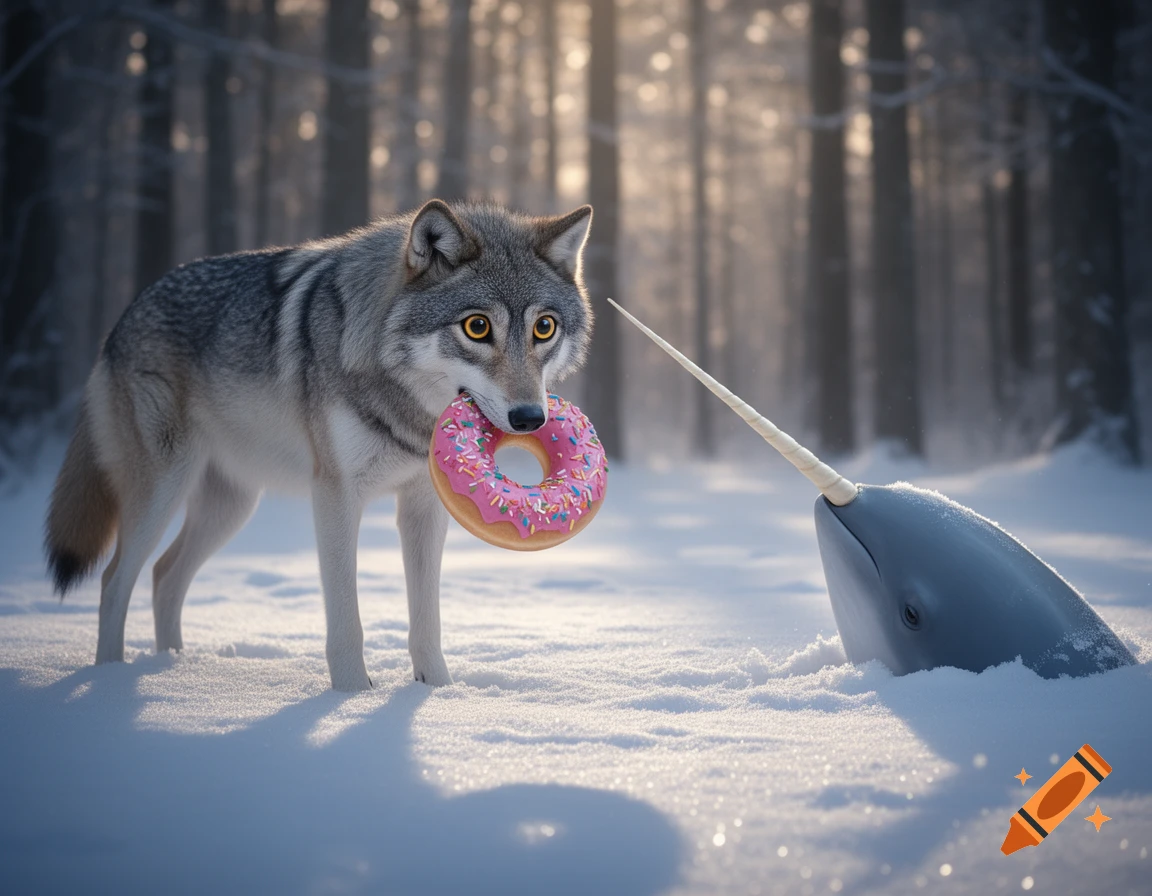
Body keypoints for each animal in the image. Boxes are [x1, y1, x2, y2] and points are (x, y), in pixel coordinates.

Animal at [44, 200, 594, 690]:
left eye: (544, 328)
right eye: (477, 327)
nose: (530, 418)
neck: (401, 399)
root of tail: (125, 315)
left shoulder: (425, 503)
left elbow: (427, 620)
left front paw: (436, 692)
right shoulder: (335, 495)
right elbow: (346, 619)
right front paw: (352, 695)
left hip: (231, 507)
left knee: (163, 576)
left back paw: (170, 668)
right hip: (164, 491)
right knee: (114, 580)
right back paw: (110, 679)